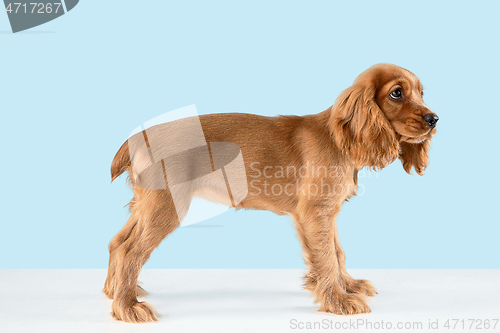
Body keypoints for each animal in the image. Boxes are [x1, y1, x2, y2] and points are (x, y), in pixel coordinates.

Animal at [104, 63, 438, 322]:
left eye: (422, 93)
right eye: (396, 93)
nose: (434, 119)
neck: (339, 138)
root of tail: (137, 137)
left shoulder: (326, 212)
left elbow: (336, 251)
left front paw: (347, 285)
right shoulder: (315, 211)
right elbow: (328, 256)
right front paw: (338, 301)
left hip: (147, 204)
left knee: (117, 241)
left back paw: (114, 292)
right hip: (167, 206)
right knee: (129, 250)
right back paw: (127, 307)